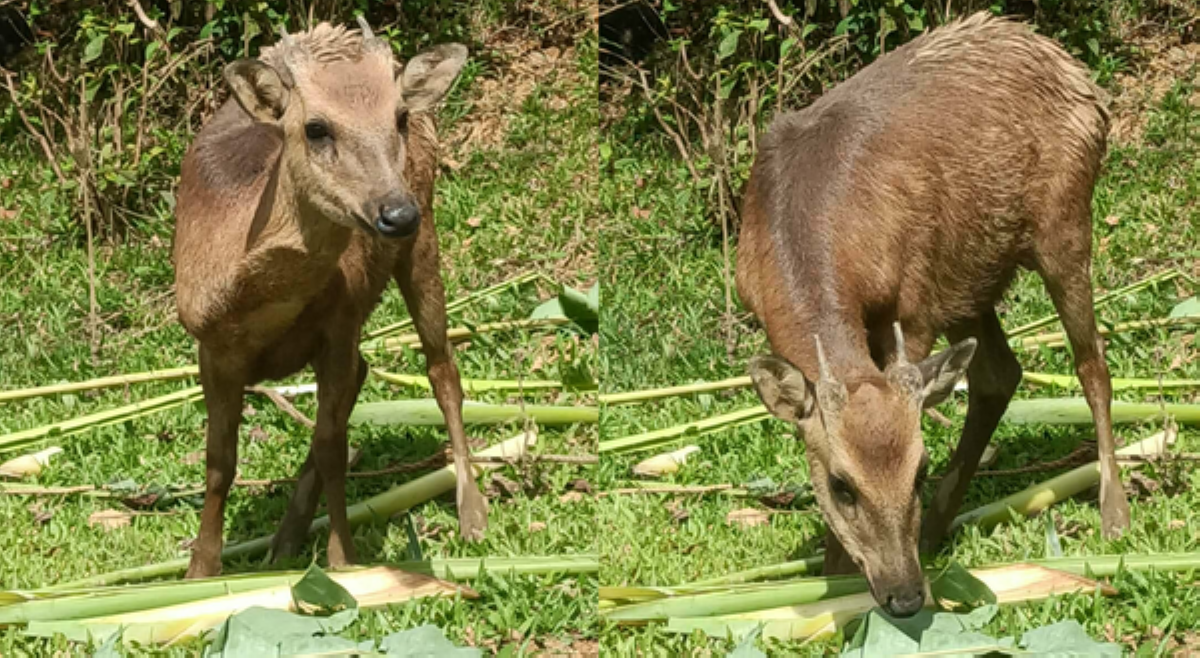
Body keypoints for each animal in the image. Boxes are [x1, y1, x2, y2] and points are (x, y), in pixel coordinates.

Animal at [171, 18, 487, 579]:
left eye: (398, 117)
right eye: (316, 128)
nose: (395, 213)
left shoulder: (340, 322)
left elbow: (333, 446)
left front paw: (344, 561)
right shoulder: (210, 346)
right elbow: (219, 462)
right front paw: (199, 571)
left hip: (425, 232)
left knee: (441, 368)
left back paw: (472, 513)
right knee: (364, 377)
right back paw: (287, 538)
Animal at [736, 12, 1130, 618]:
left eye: (919, 470)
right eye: (840, 485)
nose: (904, 595)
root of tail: (1078, 73)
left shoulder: (914, 301)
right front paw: (833, 576)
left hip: (1063, 220)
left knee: (1092, 364)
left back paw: (1114, 513)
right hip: (971, 276)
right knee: (999, 374)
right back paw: (940, 526)